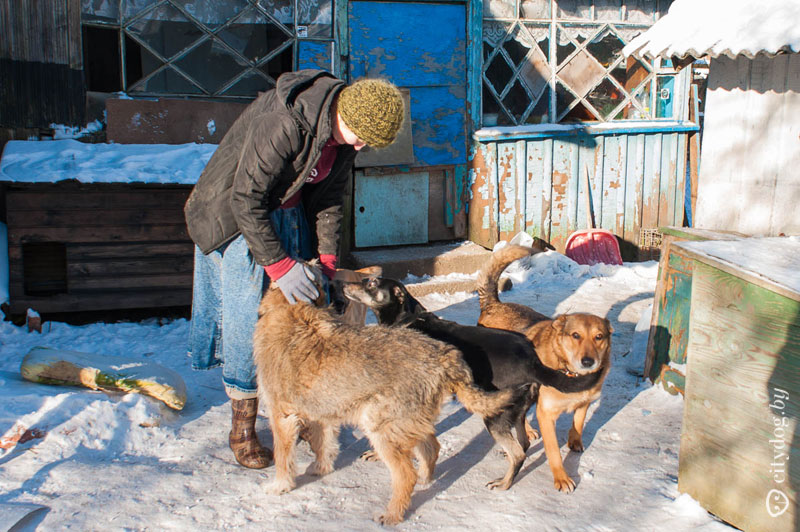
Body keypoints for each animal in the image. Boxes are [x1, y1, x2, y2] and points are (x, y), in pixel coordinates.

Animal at [252, 266, 512, 524]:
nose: (337, 286)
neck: (291, 311)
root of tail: (445, 355)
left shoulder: (281, 416)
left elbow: (283, 456)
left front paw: (280, 486)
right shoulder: (321, 413)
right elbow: (323, 444)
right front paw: (320, 469)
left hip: (380, 427)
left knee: (407, 474)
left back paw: (393, 514)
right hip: (406, 424)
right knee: (431, 447)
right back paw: (425, 479)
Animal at [340, 278, 604, 490]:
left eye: (371, 283)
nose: (342, 284)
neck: (407, 319)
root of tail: (532, 361)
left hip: (494, 415)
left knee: (518, 453)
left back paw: (503, 484)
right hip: (516, 410)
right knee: (524, 443)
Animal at [476, 245, 612, 494]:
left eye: (599, 337)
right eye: (575, 335)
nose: (588, 362)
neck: (570, 372)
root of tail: (494, 304)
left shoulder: (584, 403)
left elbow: (578, 424)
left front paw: (575, 441)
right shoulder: (547, 415)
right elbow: (554, 452)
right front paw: (562, 478)